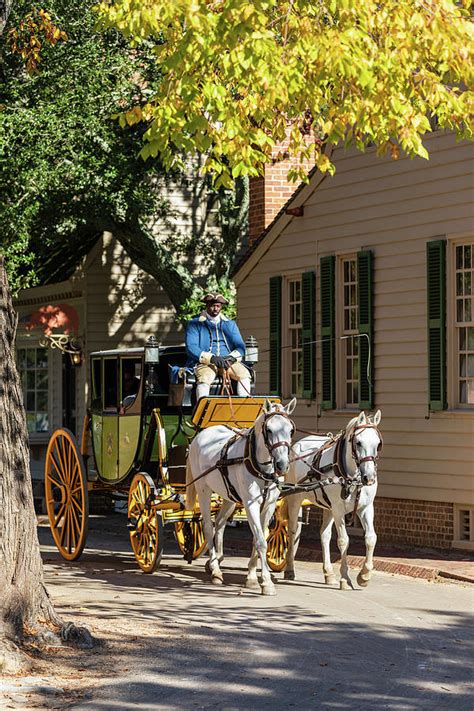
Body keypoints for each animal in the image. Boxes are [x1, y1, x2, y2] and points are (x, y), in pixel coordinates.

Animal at [186, 400, 294, 596]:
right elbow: (261, 542)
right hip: (203, 489)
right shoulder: (251, 504)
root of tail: (200, 435)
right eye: (268, 430)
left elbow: (258, 538)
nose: (282, 465)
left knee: (219, 523)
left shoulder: (269, 505)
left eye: (291, 430)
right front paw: (266, 582)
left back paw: (216, 560)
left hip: (228, 496)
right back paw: (216, 570)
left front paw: (251, 577)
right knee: (208, 527)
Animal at [284, 412, 384, 588]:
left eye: (378, 444)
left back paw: (329, 573)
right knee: (292, 530)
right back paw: (289, 568)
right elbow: (343, 541)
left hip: (328, 507)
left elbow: (371, 538)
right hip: (295, 498)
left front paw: (365, 575)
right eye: (358, 443)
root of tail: (297, 445)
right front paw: (345, 578)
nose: (369, 478)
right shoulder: (338, 509)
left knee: (324, 535)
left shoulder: (365, 508)